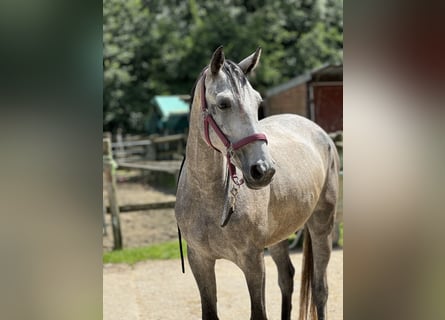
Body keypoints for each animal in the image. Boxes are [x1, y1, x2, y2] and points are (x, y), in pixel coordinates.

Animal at [175, 45, 338, 320]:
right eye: (223, 103)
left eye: (258, 102)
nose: (264, 170)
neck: (208, 196)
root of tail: (320, 132)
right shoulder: (200, 261)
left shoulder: (252, 262)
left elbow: (258, 312)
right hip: (279, 236)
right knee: (287, 278)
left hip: (321, 225)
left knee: (320, 289)